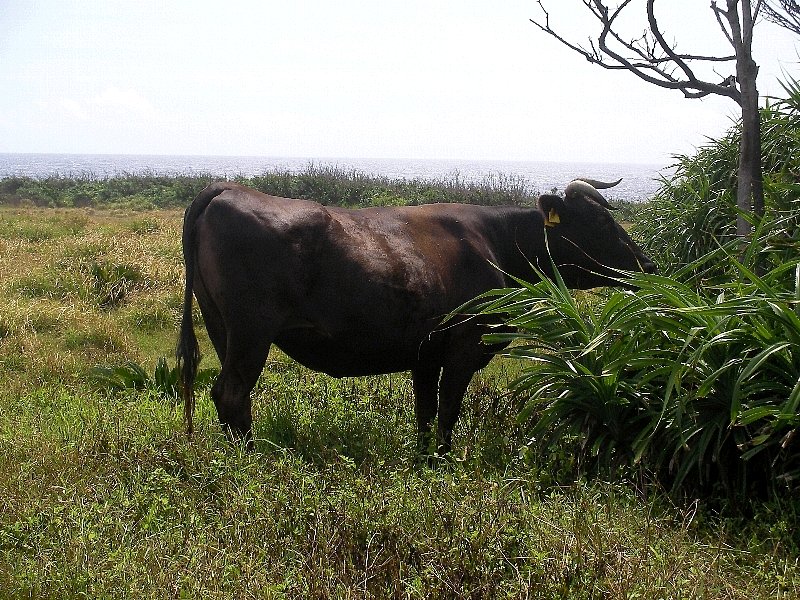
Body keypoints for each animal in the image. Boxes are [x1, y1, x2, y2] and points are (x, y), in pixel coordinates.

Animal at [177, 178, 656, 454]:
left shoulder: (425, 355)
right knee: (231, 394)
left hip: (222, 329)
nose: (647, 264)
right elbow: (447, 414)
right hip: (250, 332)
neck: (497, 242)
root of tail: (227, 188)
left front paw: (423, 463)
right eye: (599, 224)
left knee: (233, 399)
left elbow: (425, 413)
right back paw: (251, 463)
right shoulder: (463, 350)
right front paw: (443, 465)